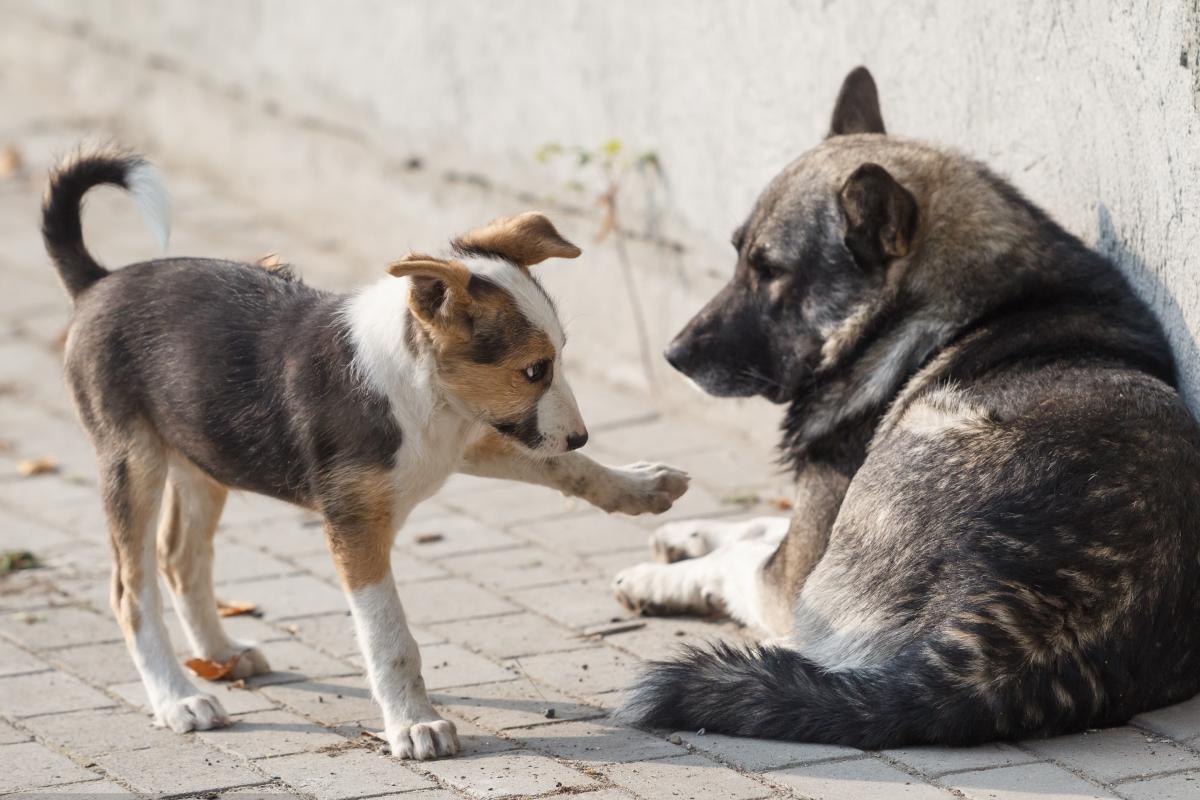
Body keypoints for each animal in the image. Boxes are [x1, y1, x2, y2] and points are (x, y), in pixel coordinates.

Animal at [44, 151, 686, 762]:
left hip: (203, 450)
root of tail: (98, 282)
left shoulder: (465, 440)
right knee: (131, 590)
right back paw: (178, 698)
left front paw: (640, 485)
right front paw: (415, 725)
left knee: (180, 557)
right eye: (534, 370)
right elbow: (390, 637)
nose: (580, 434)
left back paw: (222, 654)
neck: (423, 391)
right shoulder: (356, 526)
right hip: (133, 461)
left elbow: (560, 467)